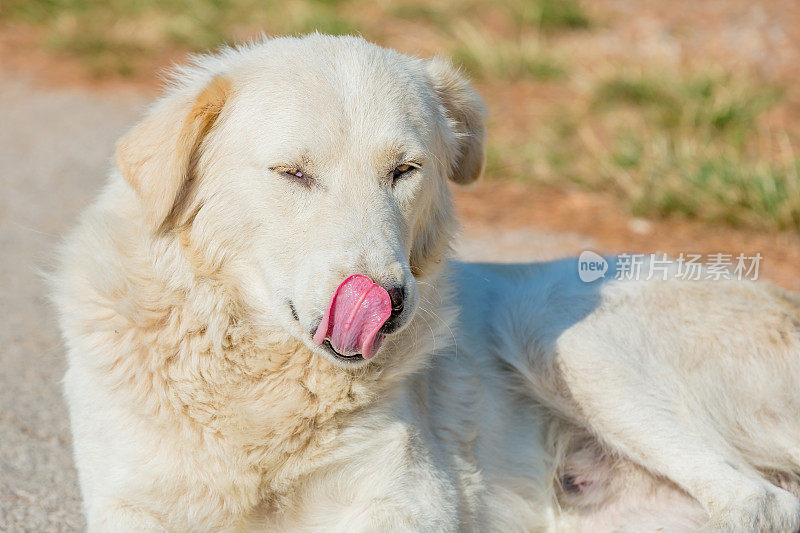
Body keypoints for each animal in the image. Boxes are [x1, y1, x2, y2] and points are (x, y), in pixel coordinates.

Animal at [53, 35, 800, 528]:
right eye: (294, 173)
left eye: (404, 170)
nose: (386, 305)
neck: (259, 384)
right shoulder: (133, 503)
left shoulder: (406, 501)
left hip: (558, 327)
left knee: (760, 501)